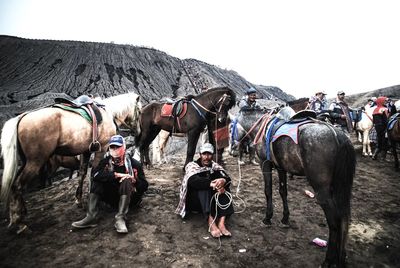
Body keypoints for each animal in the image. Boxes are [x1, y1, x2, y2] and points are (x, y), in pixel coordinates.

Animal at [0, 91, 142, 232]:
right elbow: (94, 172)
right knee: (17, 185)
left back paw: (21, 214)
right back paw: (19, 222)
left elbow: (83, 173)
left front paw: (79, 200)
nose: (139, 132)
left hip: (26, 161)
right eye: (139, 111)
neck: (109, 112)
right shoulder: (101, 149)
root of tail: (22, 117)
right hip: (35, 162)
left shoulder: (86, 151)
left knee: (16, 185)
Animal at [230, 107, 354, 268]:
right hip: (341, 187)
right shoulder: (281, 167)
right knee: (344, 217)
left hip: (322, 191)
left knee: (334, 222)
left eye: (230, 128)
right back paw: (341, 258)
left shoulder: (265, 163)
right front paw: (285, 218)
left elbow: (268, 191)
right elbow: (283, 192)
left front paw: (267, 217)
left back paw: (328, 259)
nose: (232, 150)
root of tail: (338, 136)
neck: (261, 127)